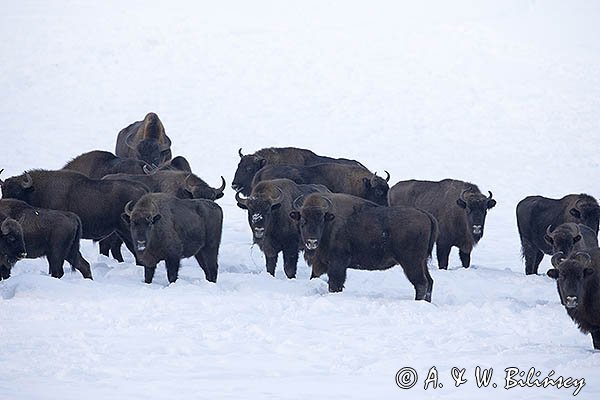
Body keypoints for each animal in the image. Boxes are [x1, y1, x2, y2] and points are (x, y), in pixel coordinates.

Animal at [290, 192, 436, 302]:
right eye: (303, 221)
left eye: (321, 221)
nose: (312, 241)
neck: (329, 222)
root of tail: (425, 215)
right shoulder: (320, 263)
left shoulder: (338, 264)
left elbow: (335, 284)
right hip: (422, 262)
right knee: (429, 281)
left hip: (411, 262)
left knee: (421, 283)